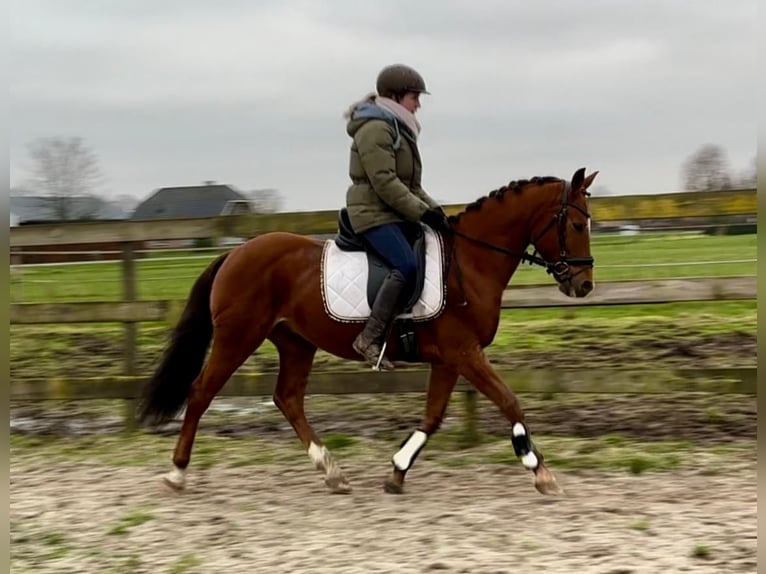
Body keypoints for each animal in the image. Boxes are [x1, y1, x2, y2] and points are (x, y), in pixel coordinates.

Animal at [138, 169, 600, 498]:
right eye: (578, 226)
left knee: (288, 399)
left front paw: (397, 471)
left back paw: (332, 472)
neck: (471, 262)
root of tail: (234, 252)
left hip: (296, 343)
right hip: (238, 338)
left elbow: (433, 417)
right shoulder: (464, 353)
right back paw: (177, 474)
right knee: (201, 393)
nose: (583, 285)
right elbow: (509, 401)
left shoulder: (450, 359)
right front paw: (538, 469)